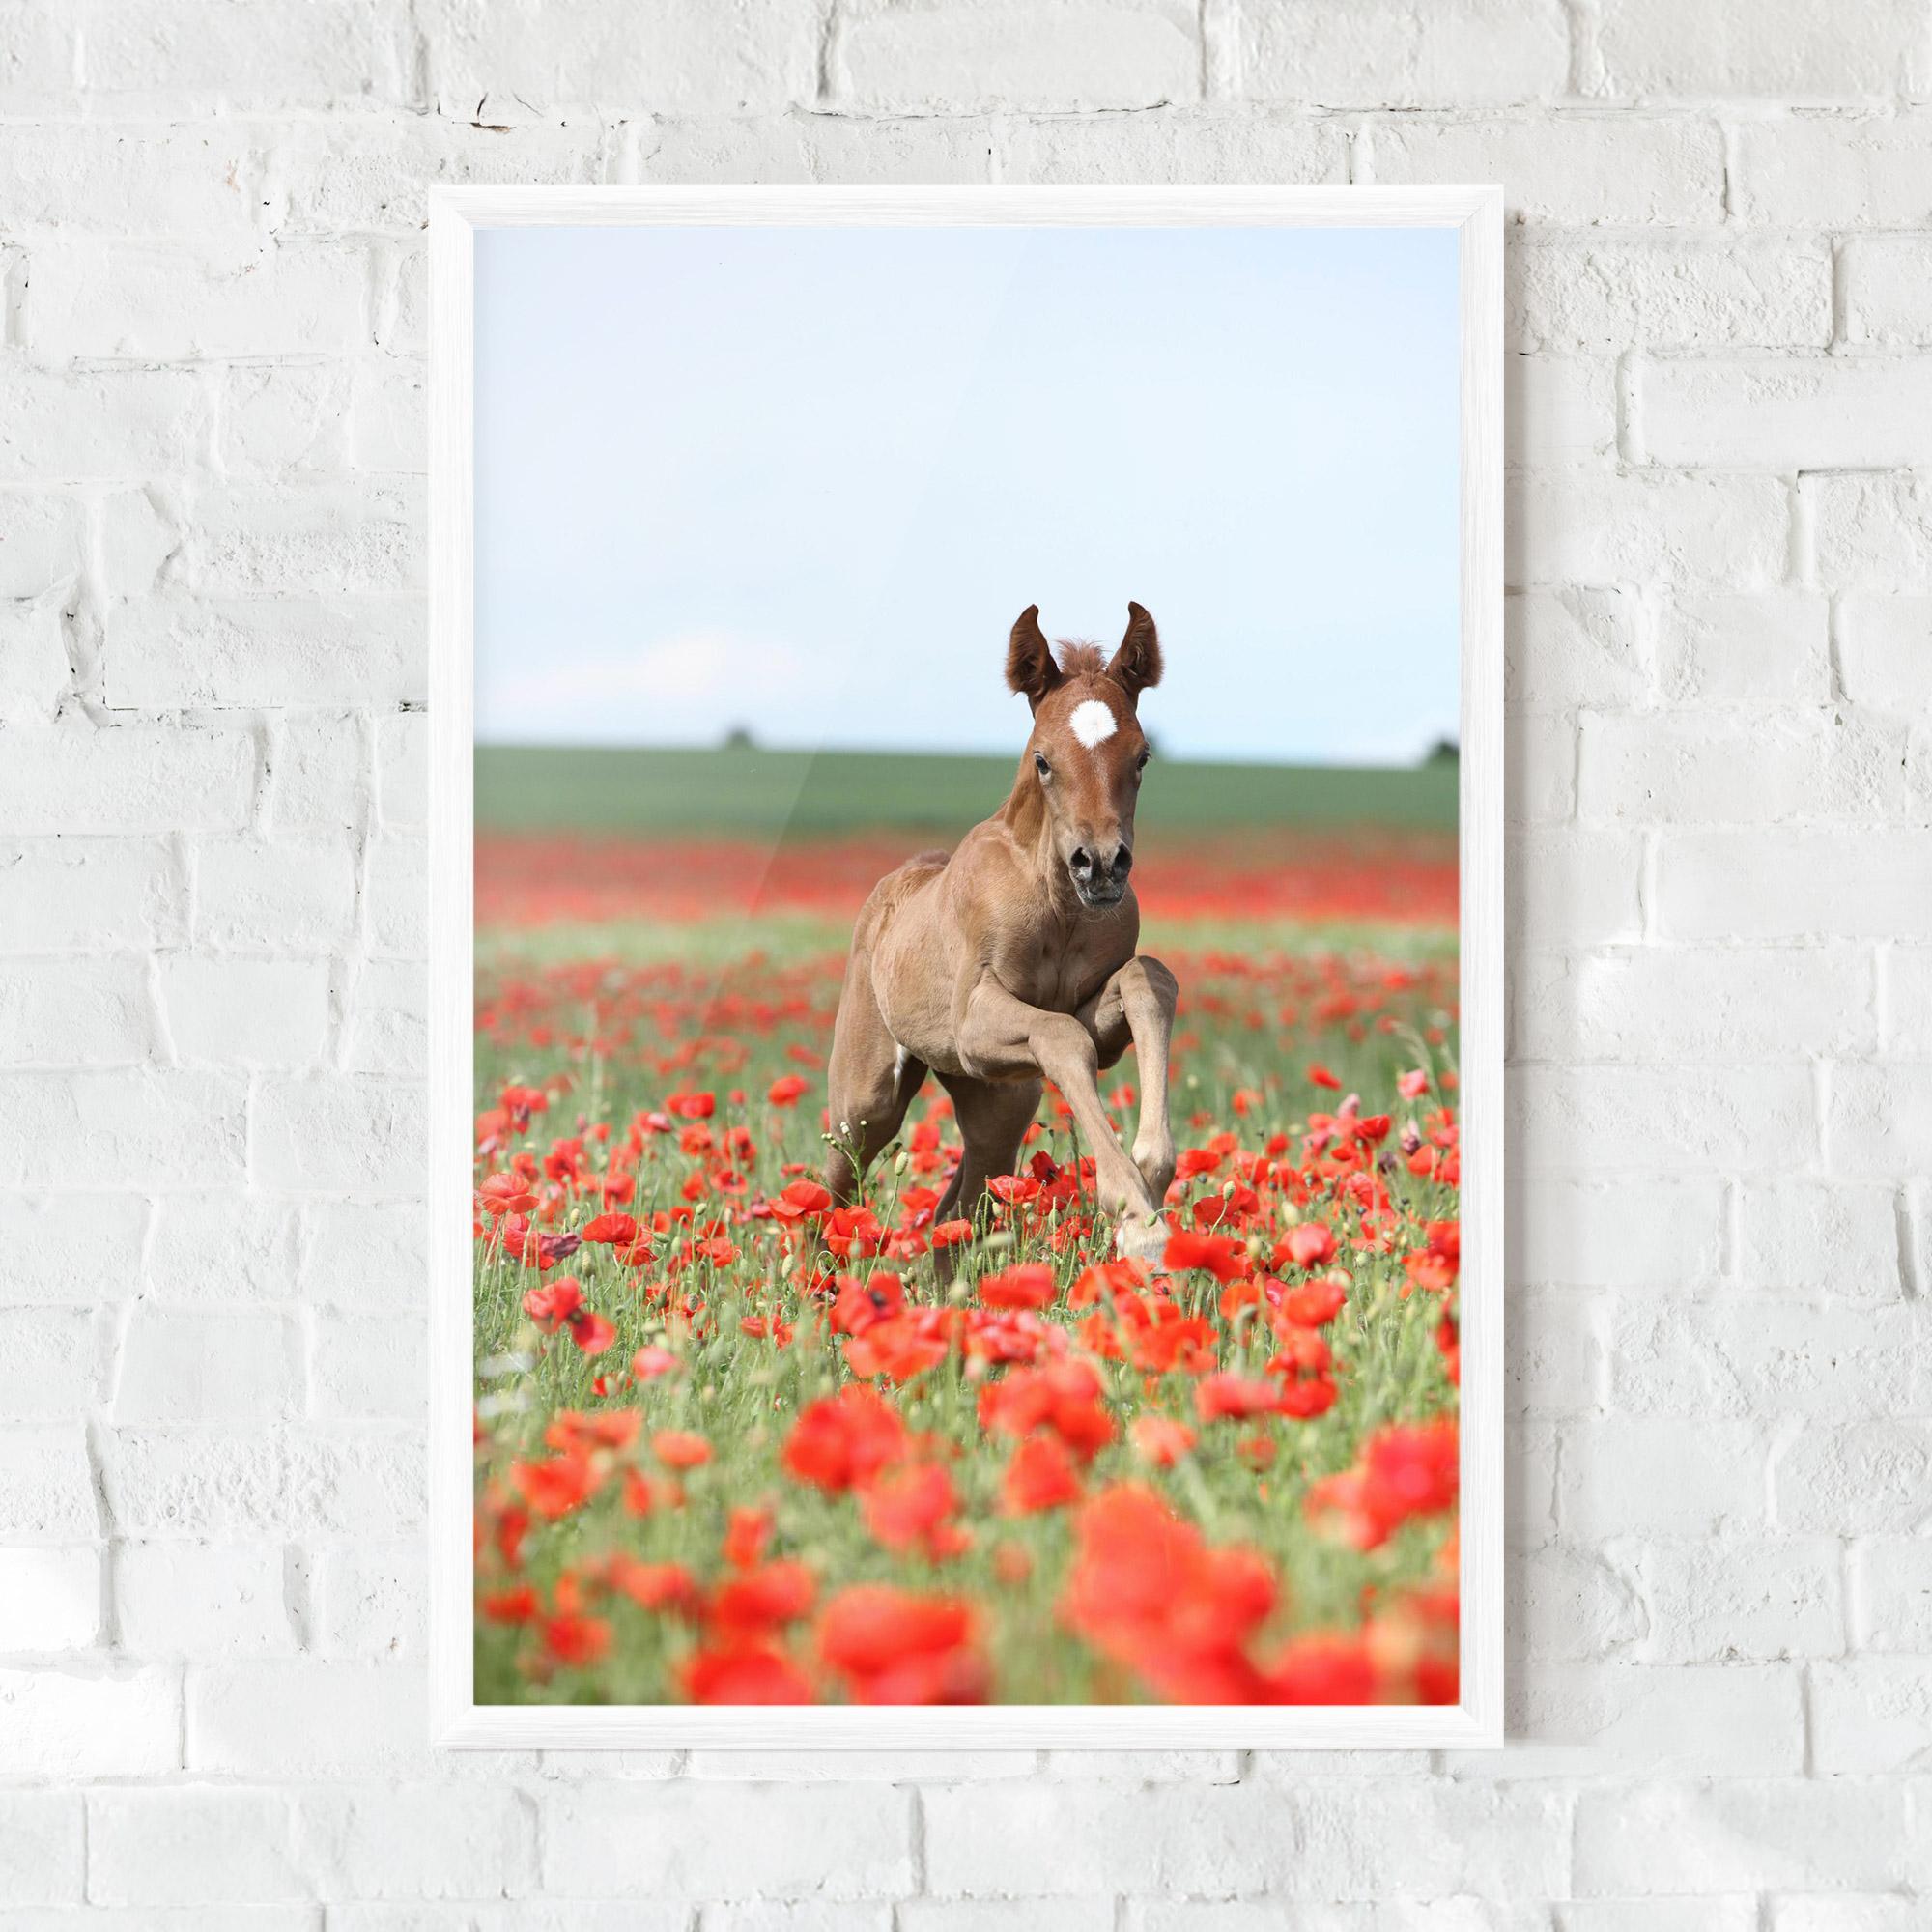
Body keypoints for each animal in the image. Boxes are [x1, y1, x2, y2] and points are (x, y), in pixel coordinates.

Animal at [822, 601, 1180, 1268]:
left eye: (1142, 757)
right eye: (1043, 759)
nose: (1100, 865)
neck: (1058, 907)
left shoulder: (1091, 1018)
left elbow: (1148, 981)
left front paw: (1150, 1177)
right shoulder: (973, 1023)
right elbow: (1062, 1037)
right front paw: (1136, 1217)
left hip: (998, 1100)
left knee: (956, 1212)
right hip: (868, 1098)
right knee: (833, 1187)